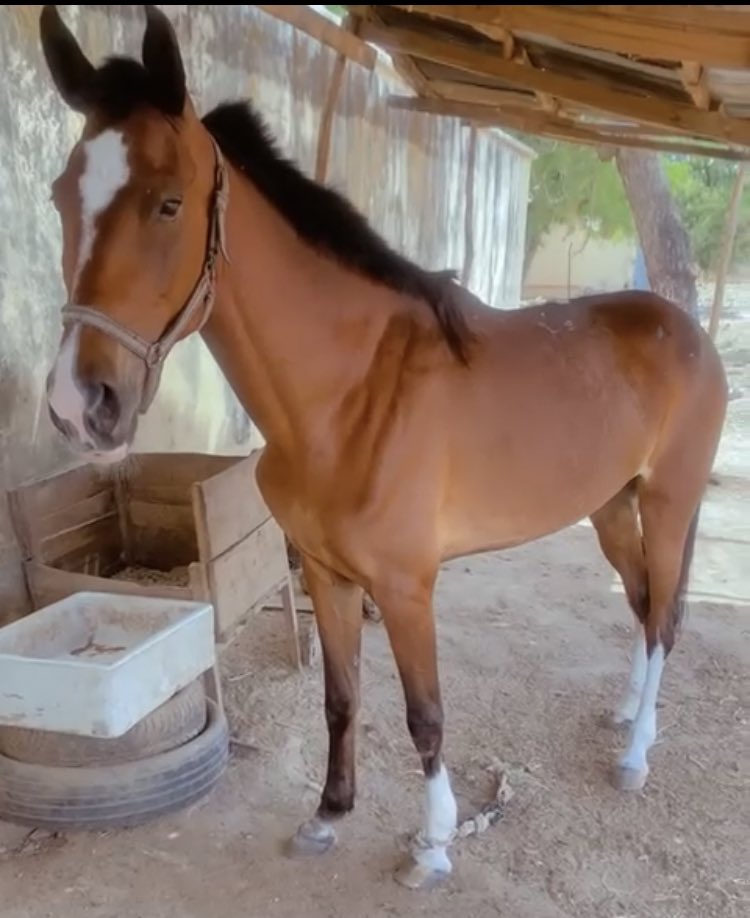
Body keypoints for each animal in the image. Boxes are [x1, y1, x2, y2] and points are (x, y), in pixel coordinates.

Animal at [38, 5, 728, 890]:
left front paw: (432, 844)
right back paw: (626, 712)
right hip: (611, 508)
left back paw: (637, 752)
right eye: (61, 196)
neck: (349, 396)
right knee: (642, 608)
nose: (79, 405)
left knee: (665, 618)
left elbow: (424, 714)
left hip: (670, 504)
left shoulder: (405, 587)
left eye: (168, 204)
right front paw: (328, 814)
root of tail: (687, 331)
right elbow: (341, 699)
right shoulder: (327, 575)